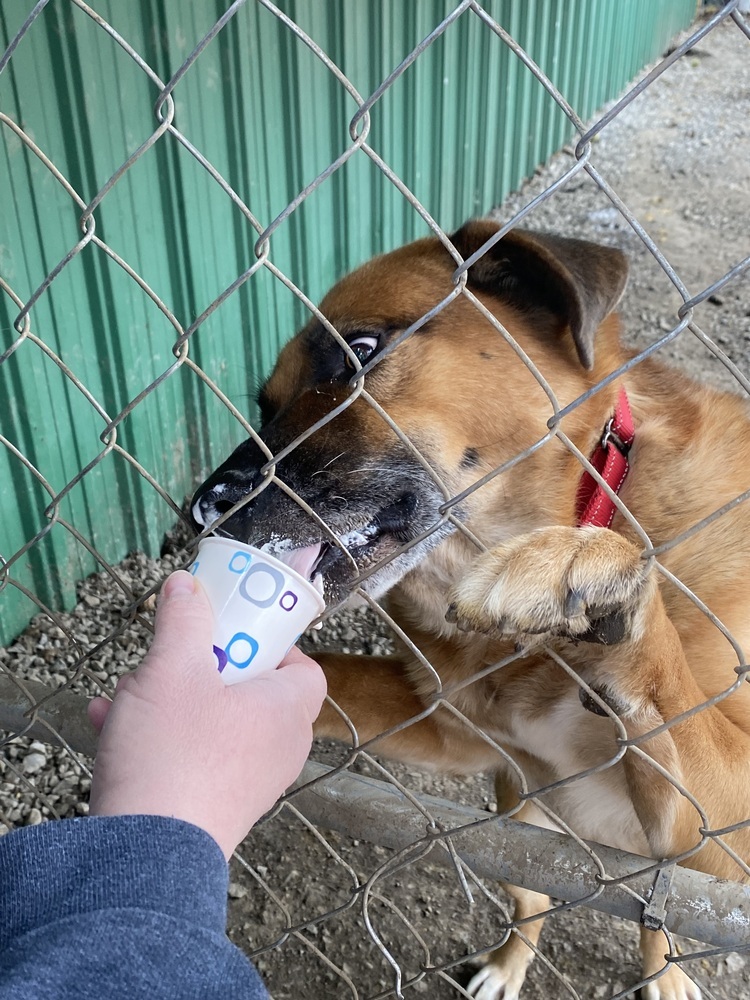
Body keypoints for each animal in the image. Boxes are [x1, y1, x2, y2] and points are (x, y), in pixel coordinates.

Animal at [191, 225, 750, 1000]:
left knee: (655, 918)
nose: (202, 511)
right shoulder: (461, 736)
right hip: (516, 815)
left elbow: (656, 645)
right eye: (265, 407)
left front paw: (585, 566)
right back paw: (509, 962)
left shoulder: (727, 838)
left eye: (360, 348)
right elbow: (328, 679)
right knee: (532, 894)